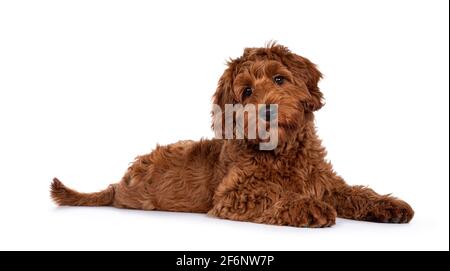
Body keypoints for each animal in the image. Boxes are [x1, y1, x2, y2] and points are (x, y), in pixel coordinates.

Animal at [51, 43, 414, 228]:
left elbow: (354, 192)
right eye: (247, 91)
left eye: (280, 79)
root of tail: (119, 182)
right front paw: (308, 207)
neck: (283, 153)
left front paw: (388, 205)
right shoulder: (232, 195)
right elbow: (272, 193)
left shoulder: (324, 182)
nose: (267, 110)